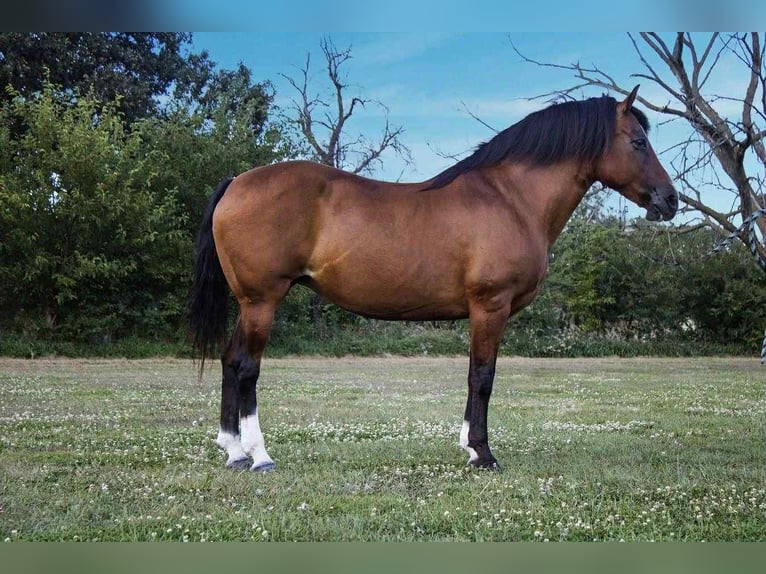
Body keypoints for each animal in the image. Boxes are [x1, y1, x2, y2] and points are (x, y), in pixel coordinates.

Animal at [189, 86, 678, 472]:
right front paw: (482, 453)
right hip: (262, 301)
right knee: (247, 367)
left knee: (229, 360)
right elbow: (482, 376)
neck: (511, 198)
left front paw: (470, 447)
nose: (670, 200)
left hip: (249, 303)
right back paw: (259, 455)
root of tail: (237, 182)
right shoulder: (490, 306)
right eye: (638, 142)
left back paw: (233, 451)